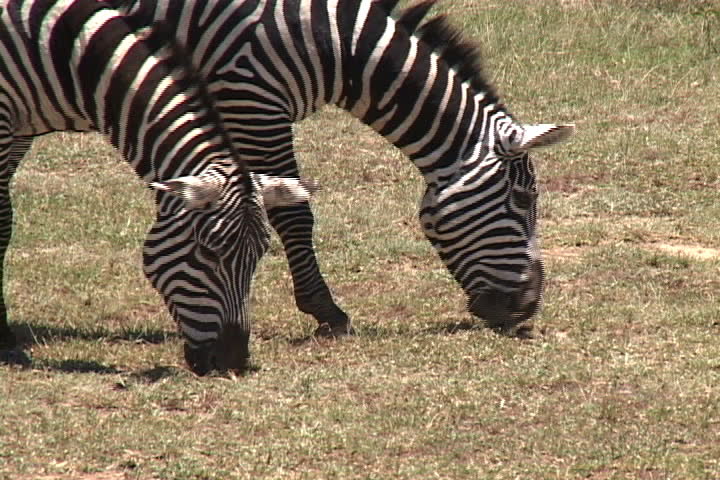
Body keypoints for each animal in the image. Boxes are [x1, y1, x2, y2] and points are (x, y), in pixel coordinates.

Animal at [12, 0, 575, 337]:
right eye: (523, 201)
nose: (527, 309)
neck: (334, 42)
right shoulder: (253, 105)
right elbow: (295, 214)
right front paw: (326, 311)